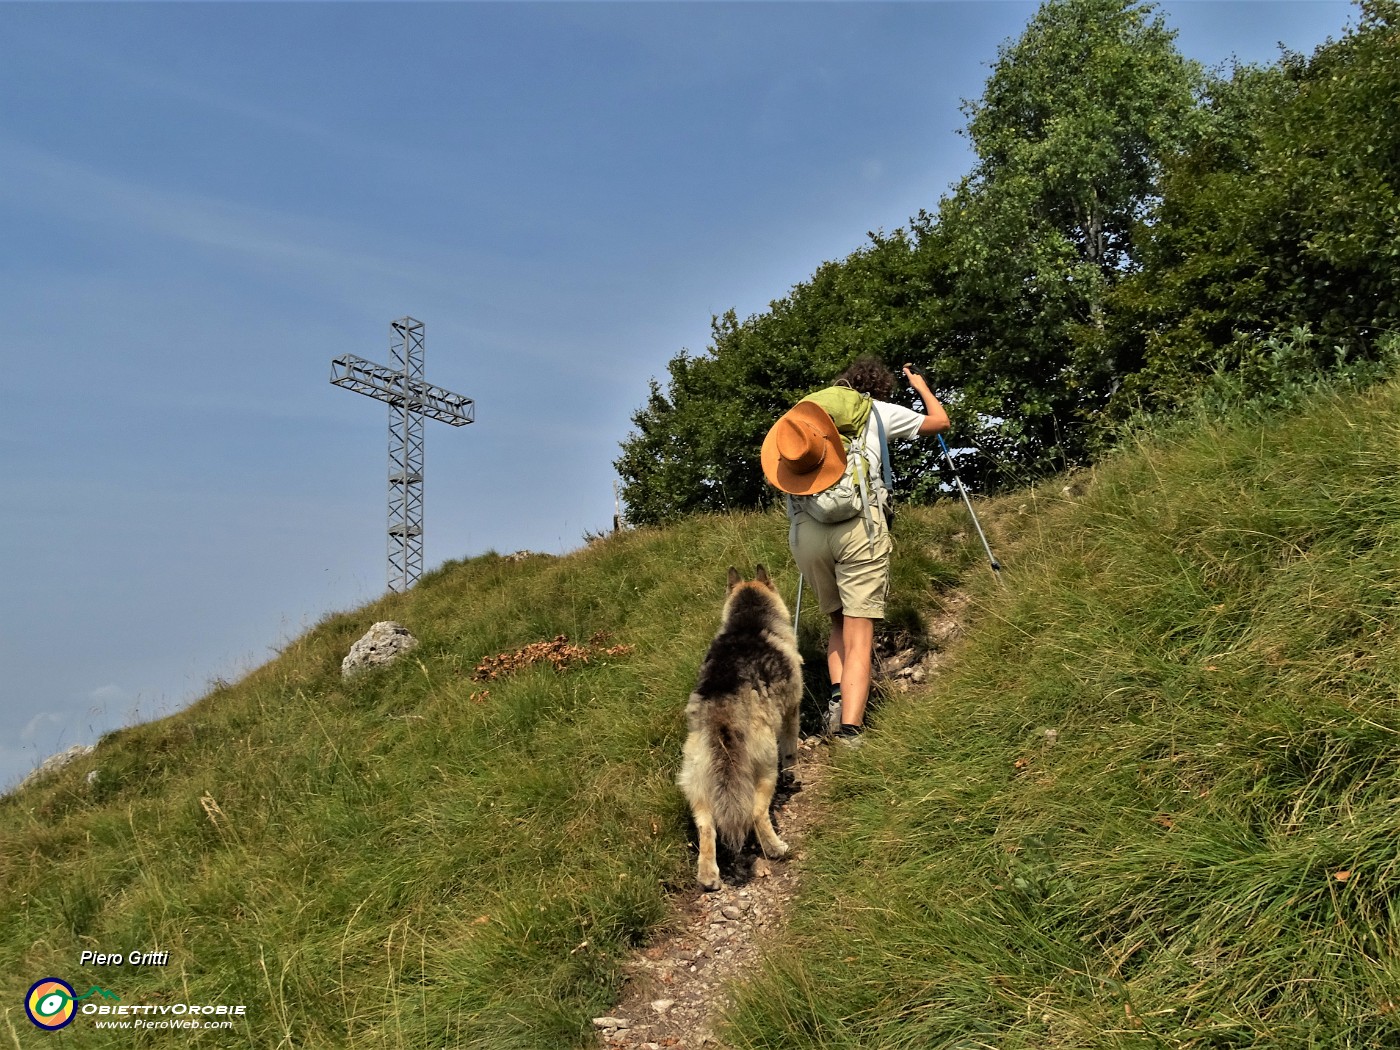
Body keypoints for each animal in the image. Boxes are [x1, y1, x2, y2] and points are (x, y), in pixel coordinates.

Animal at [674, 562, 800, 890]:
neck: (747, 621)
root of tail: (722, 711)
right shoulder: (792, 709)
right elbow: (792, 745)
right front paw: (795, 768)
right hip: (765, 764)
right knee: (756, 813)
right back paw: (776, 848)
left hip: (696, 776)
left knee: (706, 827)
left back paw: (708, 876)